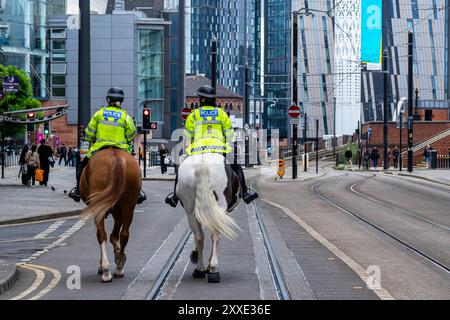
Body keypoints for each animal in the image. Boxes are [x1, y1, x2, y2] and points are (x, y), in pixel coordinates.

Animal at [79, 148, 141, 282]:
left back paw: (106, 271)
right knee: (124, 234)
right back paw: (119, 268)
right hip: (129, 203)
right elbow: (114, 236)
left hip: (98, 206)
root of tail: (116, 157)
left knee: (101, 235)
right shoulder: (118, 212)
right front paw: (119, 255)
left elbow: (108, 236)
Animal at [176, 152, 241, 282]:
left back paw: (200, 269)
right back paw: (213, 269)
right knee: (215, 235)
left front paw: (196, 256)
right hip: (220, 205)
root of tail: (203, 164)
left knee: (199, 236)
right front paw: (209, 264)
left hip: (190, 209)